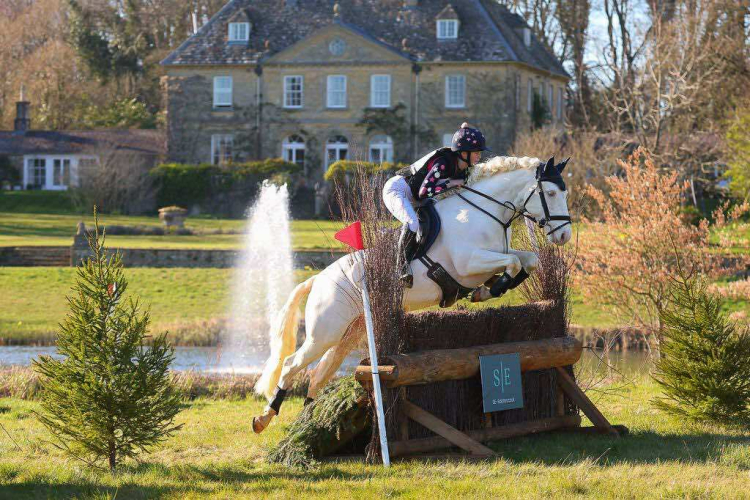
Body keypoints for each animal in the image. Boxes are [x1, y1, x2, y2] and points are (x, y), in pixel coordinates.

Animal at [252, 155, 573, 433]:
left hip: (351, 331)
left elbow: (528, 260)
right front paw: (488, 290)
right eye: (552, 193)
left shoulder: (496, 256)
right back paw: (265, 418)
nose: (564, 236)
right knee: (291, 365)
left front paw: (489, 289)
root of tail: (318, 278)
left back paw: (309, 421)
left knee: (319, 373)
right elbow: (514, 263)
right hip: (325, 332)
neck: (484, 212)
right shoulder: (468, 264)